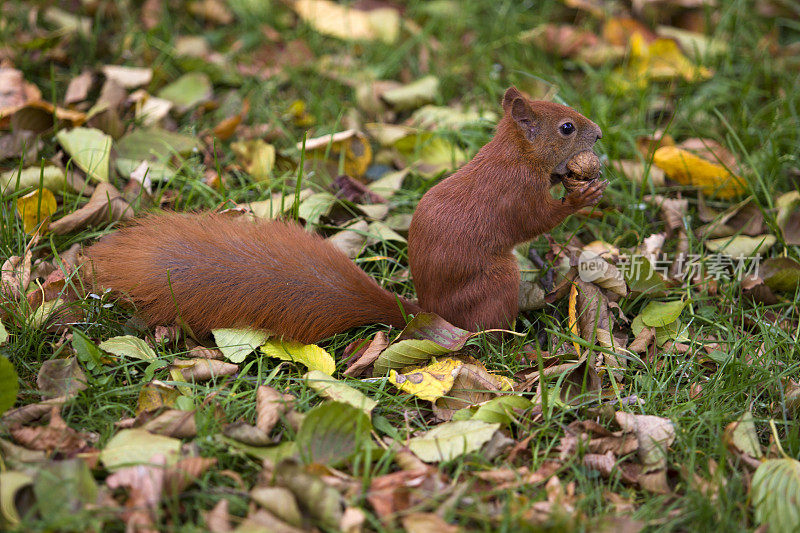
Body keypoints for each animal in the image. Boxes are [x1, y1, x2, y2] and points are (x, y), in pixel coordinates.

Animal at [84, 86, 608, 344]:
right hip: (494, 281)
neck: (515, 156)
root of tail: (426, 313)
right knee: (488, 334)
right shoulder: (514, 196)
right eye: (566, 127)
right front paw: (582, 197)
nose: (600, 134)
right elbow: (535, 220)